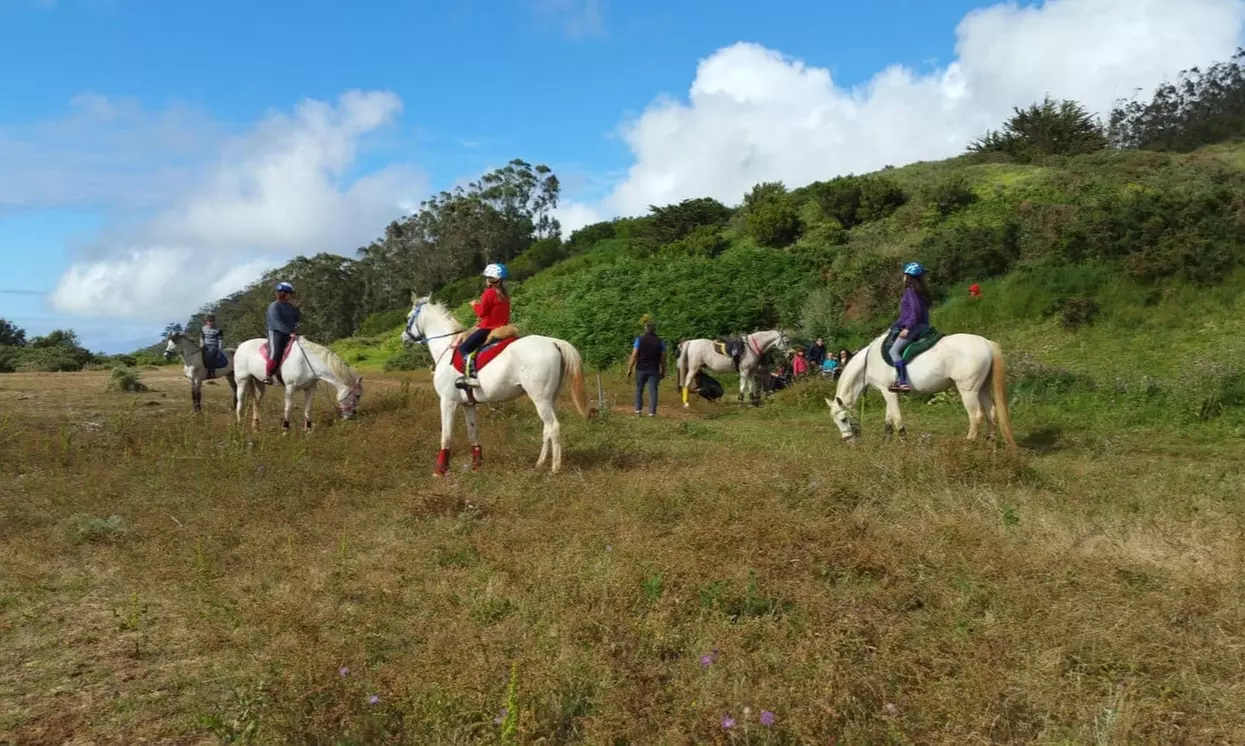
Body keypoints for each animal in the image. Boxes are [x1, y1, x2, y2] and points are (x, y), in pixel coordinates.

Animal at [231, 335, 364, 433]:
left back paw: (256, 427)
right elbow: (288, 408)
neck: (306, 362)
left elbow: (308, 408)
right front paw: (285, 429)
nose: (352, 415)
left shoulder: (310, 388)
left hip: (259, 382)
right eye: (357, 395)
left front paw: (308, 429)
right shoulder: (290, 387)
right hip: (242, 380)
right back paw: (239, 426)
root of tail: (240, 346)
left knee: (256, 402)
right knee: (240, 402)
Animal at [400, 296, 590, 476]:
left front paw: (440, 470)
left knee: (553, 427)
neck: (447, 347)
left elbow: (446, 436)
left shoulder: (447, 402)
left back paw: (554, 468)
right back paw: (540, 463)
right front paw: (476, 465)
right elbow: (472, 433)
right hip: (550, 398)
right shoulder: (468, 404)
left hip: (540, 398)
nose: (403, 338)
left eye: (408, 317)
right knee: (547, 429)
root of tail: (553, 342)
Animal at [825, 331, 1017, 448]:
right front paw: (886, 442)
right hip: (982, 388)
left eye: (843, 419)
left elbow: (896, 418)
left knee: (976, 416)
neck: (869, 361)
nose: (848, 441)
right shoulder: (891, 393)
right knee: (991, 413)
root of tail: (985, 342)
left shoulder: (887, 391)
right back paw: (990, 445)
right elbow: (888, 420)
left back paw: (967, 444)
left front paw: (904, 444)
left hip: (968, 390)